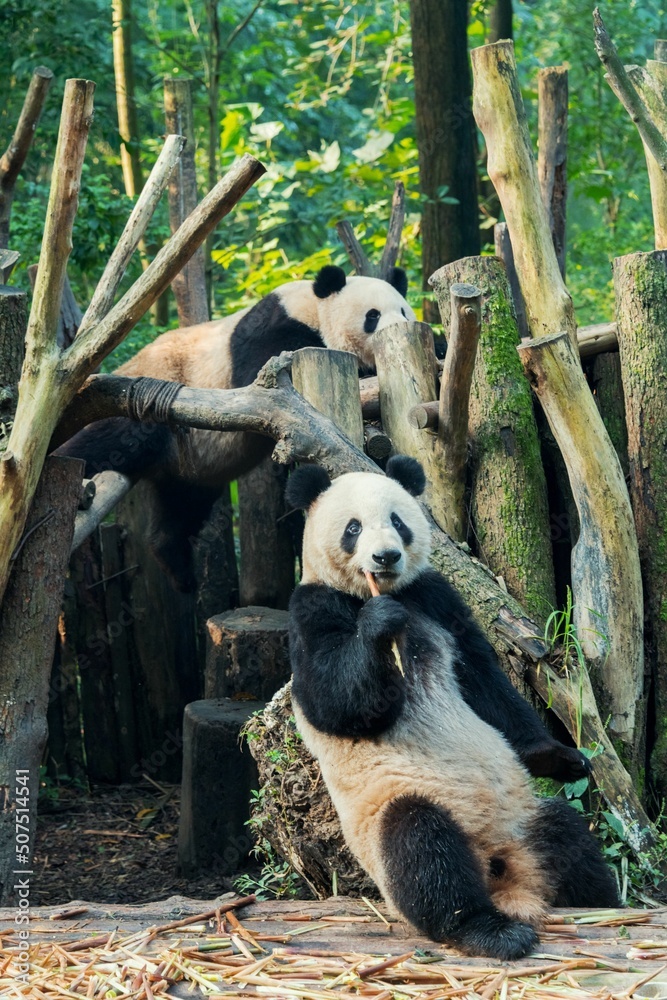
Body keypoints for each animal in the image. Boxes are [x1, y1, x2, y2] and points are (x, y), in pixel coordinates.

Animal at [57, 265, 414, 591]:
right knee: (103, 443)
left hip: (191, 466)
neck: (312, 308)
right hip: (141, 403)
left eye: (403, 311)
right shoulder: (273, 332)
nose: (398, 327)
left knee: (181, 508)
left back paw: (179, 570)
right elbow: (260, 371)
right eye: (372, 316)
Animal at [286, 456, 619, 960]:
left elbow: (484, 681)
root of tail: (499, 872)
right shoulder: (312, 608)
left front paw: (560, 757)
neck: (381, 593)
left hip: (523, 818)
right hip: (395, 815)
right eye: (353, 528)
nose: (385, 558)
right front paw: (379, 625)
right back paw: (491, 931)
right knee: (424, 850)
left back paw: (600, 901)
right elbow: (335, 702)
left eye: (397, 522)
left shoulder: (435, 598)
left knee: (569, 837)